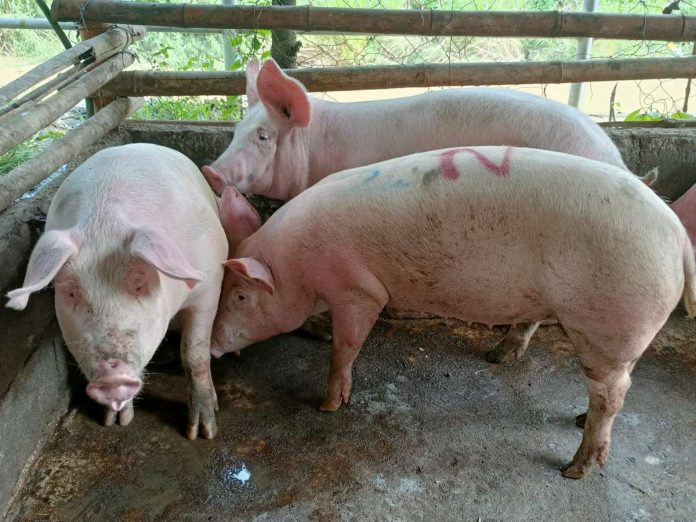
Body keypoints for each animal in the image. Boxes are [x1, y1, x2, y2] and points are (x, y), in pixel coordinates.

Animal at [6, 143, 227, 438]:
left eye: (140, 284)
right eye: (72, 293)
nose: (111, 377)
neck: (103, 225)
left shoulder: (210, 284)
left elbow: (194, 354)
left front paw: (201, 432)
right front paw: (115, 421)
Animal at [211, 145, 696, 476]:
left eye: (240, 297)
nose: (213, 347)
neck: (295, 266)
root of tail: (678, 238)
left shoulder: (358, 290)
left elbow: (345, 348)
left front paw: (328, 407)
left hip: (610, 322)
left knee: (613, 392)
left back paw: (573, 469)